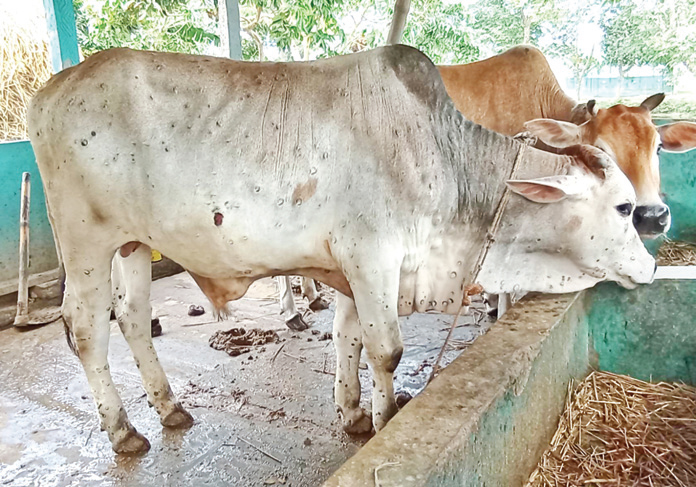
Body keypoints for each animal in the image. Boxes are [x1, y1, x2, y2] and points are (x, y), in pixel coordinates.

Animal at [29, 44, 656, 454]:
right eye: (623, 207)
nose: (651, 260)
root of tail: (51, 88)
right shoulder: (372, 257)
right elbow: (386, 351)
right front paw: (384, 415)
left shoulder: (351, 270)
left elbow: (348, 336)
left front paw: (352, 410)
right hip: (86, 243)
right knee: (85, 328)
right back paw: (124, 430)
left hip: (133, 244)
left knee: (134, 318)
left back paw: (169, 407)